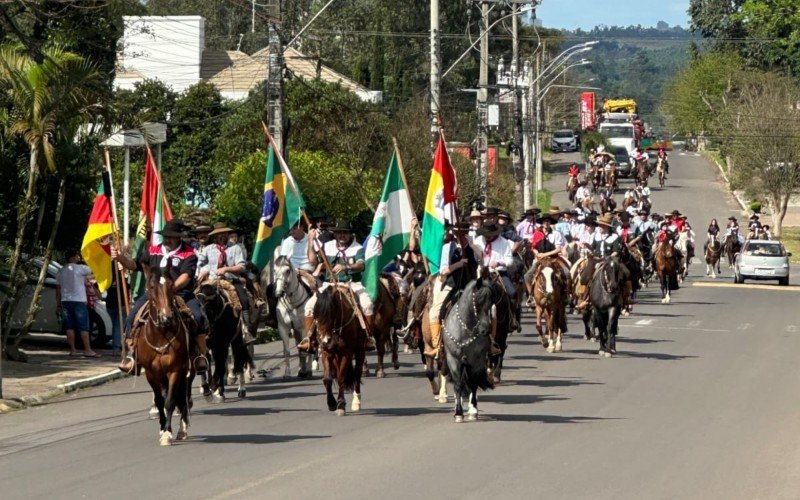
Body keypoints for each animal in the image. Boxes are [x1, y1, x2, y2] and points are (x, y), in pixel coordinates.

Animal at [137, 272, 195, 448]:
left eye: (171, 285)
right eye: (152, 286)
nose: (166, 317)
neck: (160, 336)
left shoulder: (175, 370)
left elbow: (170, 401)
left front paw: (168, 434)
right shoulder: (151, 373)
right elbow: (159, 400)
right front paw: (163, 429)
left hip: (187, 372)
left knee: (183, 398)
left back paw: (182, 430)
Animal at [314, 284, 368, 416]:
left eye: (331, 314)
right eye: (316, 315)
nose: (325, 340)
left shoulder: (346, 353)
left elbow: (341, 378)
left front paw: (341, 405)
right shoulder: (326, 352)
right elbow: (327, 379)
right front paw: (331, 403)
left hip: (360, 351)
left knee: (357, 374)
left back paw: (356, 402)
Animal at [440, 278, 496, 422]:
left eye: (491, 302)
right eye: (477, 302)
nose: (485, 330)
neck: (465, 328)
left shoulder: (477, 360)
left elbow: (473, 383)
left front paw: (473, 411)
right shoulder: (453, 359)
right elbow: (458, 384)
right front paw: (458, 413)